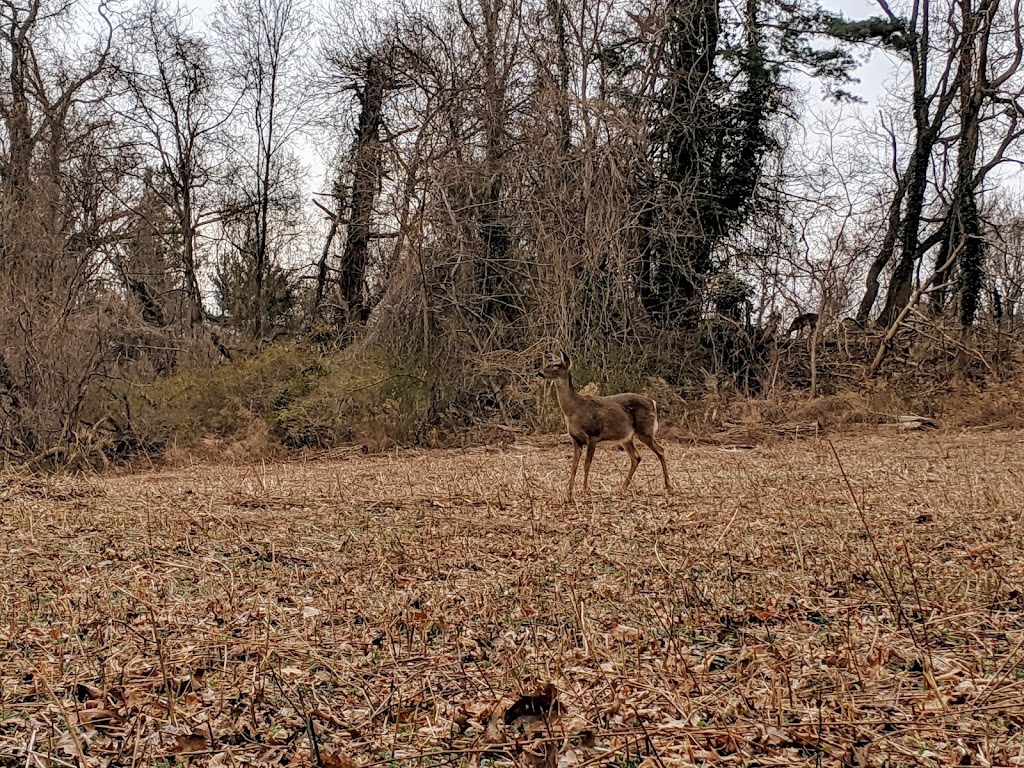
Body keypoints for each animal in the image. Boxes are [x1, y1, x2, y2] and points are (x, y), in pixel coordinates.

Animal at [536, 354, 671, 501]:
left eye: (557, 365)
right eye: (548, 362)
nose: (540, 373)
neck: (573, 410)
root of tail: (653, 402)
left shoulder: (592, 435)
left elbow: (587, 464)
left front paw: (585, 491)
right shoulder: (576, 440)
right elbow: (574, 466)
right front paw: (569, 493)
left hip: (645, 430)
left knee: (661, 450)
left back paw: (668, 486)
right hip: (626, 438)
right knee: (636, 457)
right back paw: (622, 488)